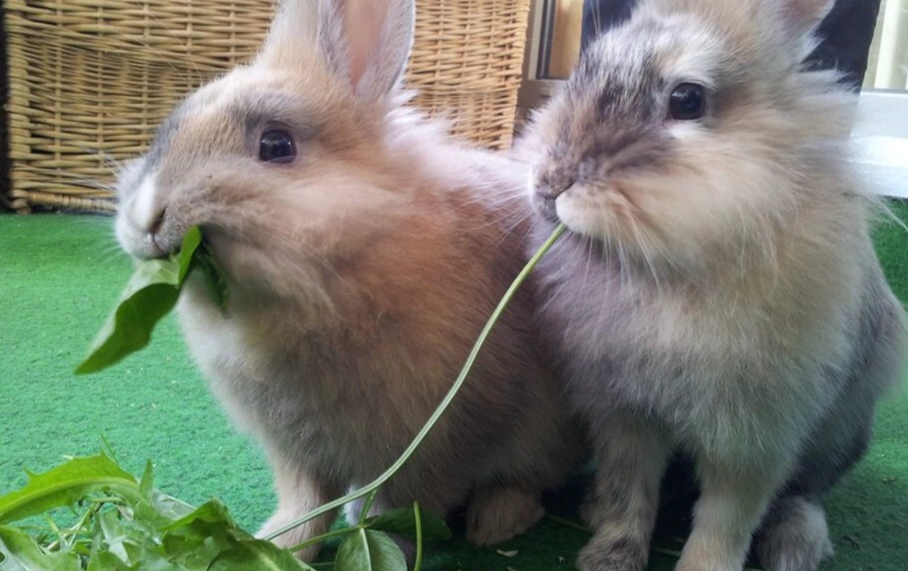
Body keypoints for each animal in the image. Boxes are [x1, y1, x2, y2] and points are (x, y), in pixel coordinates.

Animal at [112, 0, 582, 560]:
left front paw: (380, 540)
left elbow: (403, 506)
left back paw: (497, 523)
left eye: (276, 144)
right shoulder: (295, 453)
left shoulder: (432, 442)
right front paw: (277, 544)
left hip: (544, 430)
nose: (149, 218)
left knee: (528, 478)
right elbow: (307, 505)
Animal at [518, 0, 907, 570]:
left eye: (687, 98)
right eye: (580, 73)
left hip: (840, 431)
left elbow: (727, 518)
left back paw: (795, 545)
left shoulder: (754, 438)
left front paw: (702, 565)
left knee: (805, 492)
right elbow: (630, 492)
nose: (548, 184)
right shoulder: (624, 416)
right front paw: (610, 555)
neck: (663, 268)